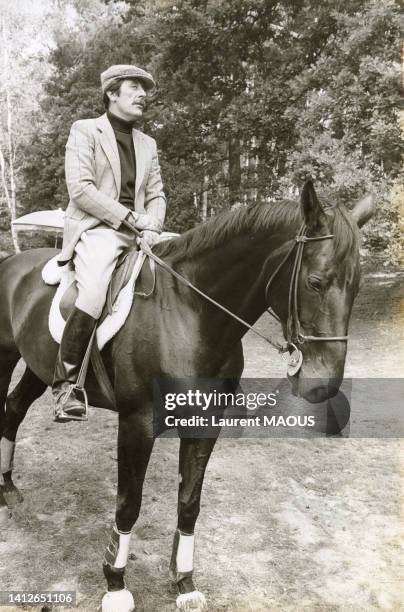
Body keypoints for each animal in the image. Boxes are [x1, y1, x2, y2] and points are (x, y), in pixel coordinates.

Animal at [0, 183, 372, 612]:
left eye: (357, 285)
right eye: (315, 282)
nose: (321, 386)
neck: (188, 315)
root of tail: (13, 262)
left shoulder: (204, 425)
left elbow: (190, 503)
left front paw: (184, 582)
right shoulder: (136, 425)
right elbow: (129, 504)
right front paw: (115, 584)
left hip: (37, 366)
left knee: (14, 409)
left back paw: (8, 490)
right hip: (5, 357)